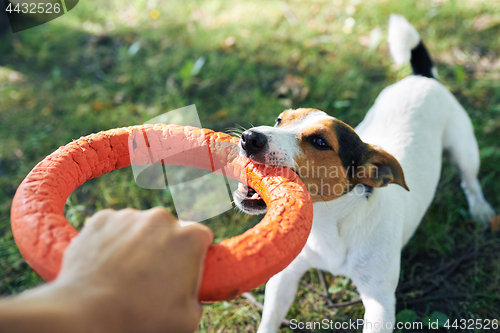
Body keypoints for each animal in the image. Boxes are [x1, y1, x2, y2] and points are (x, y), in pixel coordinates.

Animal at [233, 15, 496, 332]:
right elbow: (270, 318)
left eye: (320, 141)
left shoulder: (380, 300)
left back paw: (481, 210)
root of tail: (423, 78)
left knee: (470, 182)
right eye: (279, 120)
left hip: (464, 149)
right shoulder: (284, 277)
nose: (249, 138)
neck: (329, 224)